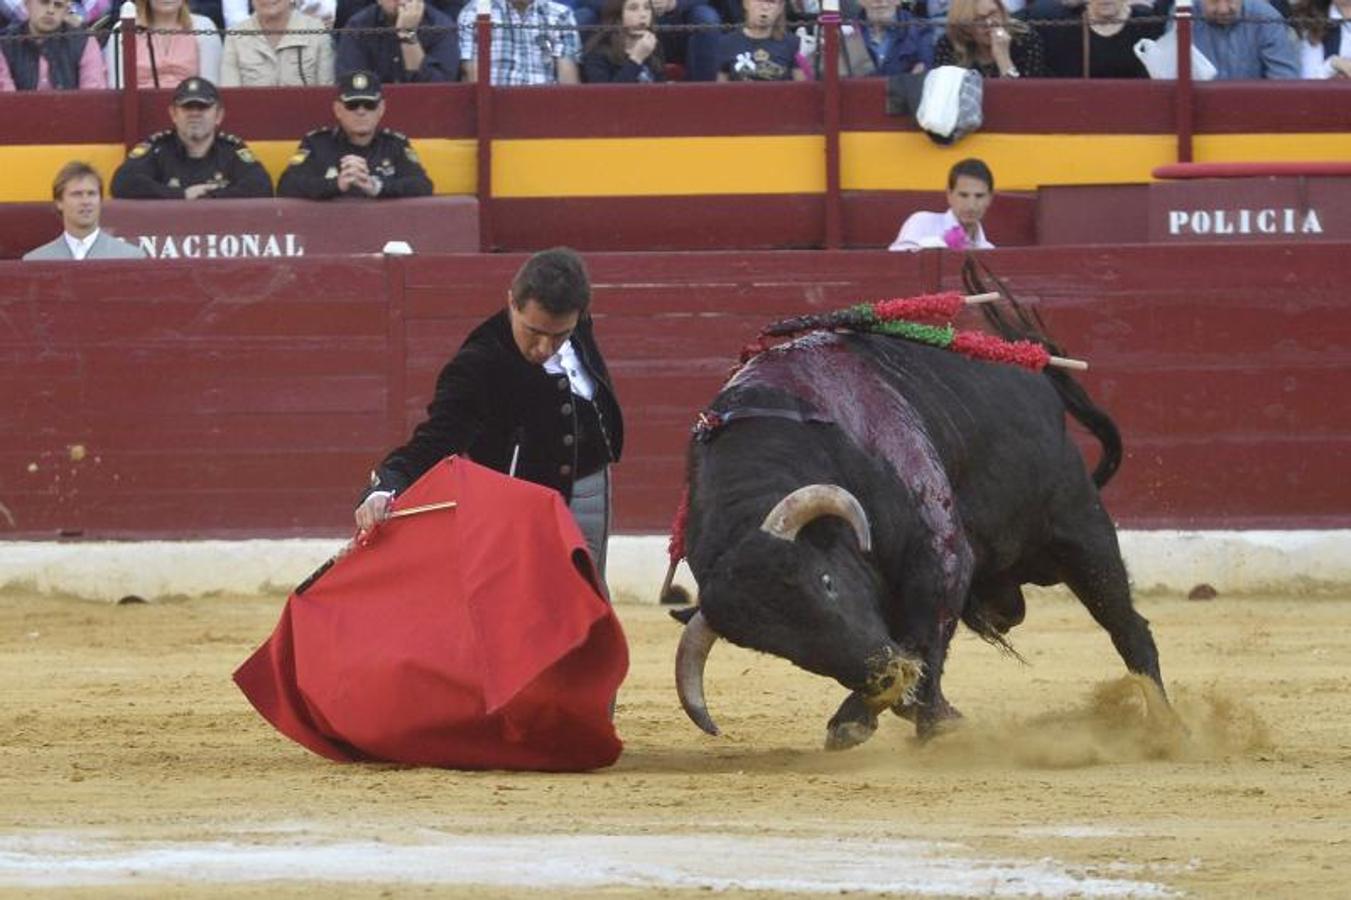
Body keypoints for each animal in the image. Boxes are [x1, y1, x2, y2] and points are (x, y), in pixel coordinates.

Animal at [670, 325, 1167, 745]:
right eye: (783, 650)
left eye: (826, 582)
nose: (883, 676)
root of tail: (1037, 374)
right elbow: (914, 655)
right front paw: (893, 715)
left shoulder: (939, 558)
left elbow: (925, 635)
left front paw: (887, 719)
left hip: (1082, 531)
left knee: (1128, 627)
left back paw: (1167, 729)